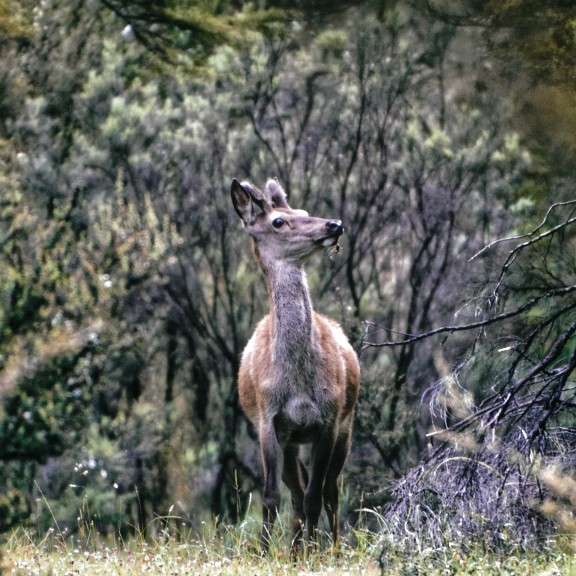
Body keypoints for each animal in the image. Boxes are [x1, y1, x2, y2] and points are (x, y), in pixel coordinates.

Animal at [230, 178, 360, 556]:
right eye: (278, 221)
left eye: (303, 210)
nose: (334, 224)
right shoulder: (268, 421)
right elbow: (272, 497)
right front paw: (263, 553)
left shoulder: (329, 419)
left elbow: (318, 495)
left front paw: (316, 554)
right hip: (291, 440)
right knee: (298, 494)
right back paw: (295, 550)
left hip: (347, 425)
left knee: (330, 492)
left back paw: (328, 548)